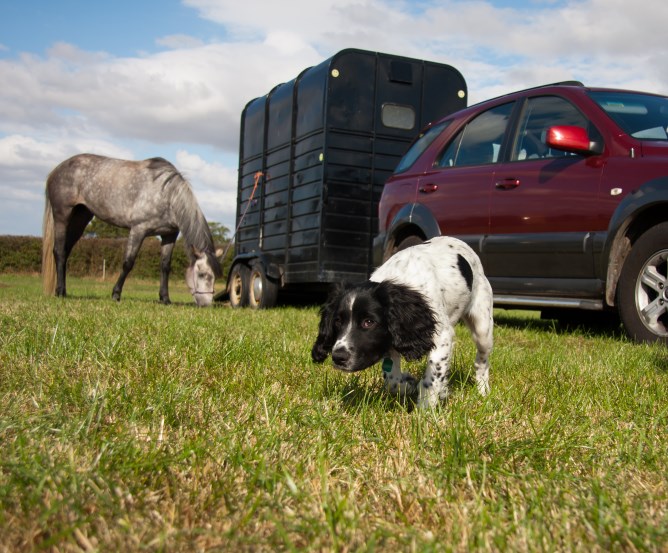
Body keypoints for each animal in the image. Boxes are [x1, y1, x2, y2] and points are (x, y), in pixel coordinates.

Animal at [310, 235, 494, 408]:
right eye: (337, 321)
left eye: (368, 322)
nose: (338, 357)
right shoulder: (391, 340)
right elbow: (392, 380)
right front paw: (409, 384)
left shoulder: (442, 336)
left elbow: (433, 375)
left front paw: (426, 408)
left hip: (483, 327)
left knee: (481, 362)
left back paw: (483, 391)